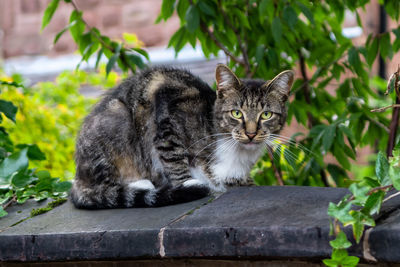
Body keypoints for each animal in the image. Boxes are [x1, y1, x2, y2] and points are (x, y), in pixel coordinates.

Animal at [69, 65, 294, 209]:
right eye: (236, 113)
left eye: (266, 115)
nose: (251, 133)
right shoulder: (167, 111)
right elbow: (174, 158)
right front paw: (188, 185)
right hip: (118, 120)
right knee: (99, 187)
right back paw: (140, 184)